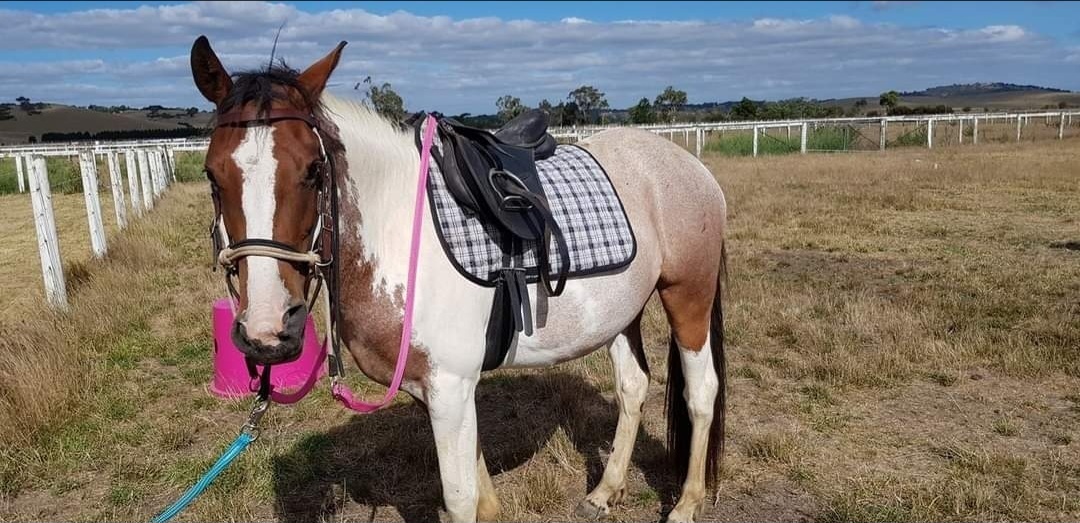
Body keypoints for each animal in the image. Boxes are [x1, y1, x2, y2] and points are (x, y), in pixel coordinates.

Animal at [190, 35, 728, 523]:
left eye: (313, 169)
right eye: (212, 175)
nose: (267, 331)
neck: (396, 229)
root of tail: (689, 165)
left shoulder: (450, 386)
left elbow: (459, 498)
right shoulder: (438, 390)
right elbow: (477, 488)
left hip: (688, 297)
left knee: (701, 392)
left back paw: (686, 505)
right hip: (621, 313)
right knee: (633, 386)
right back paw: (604, 492)